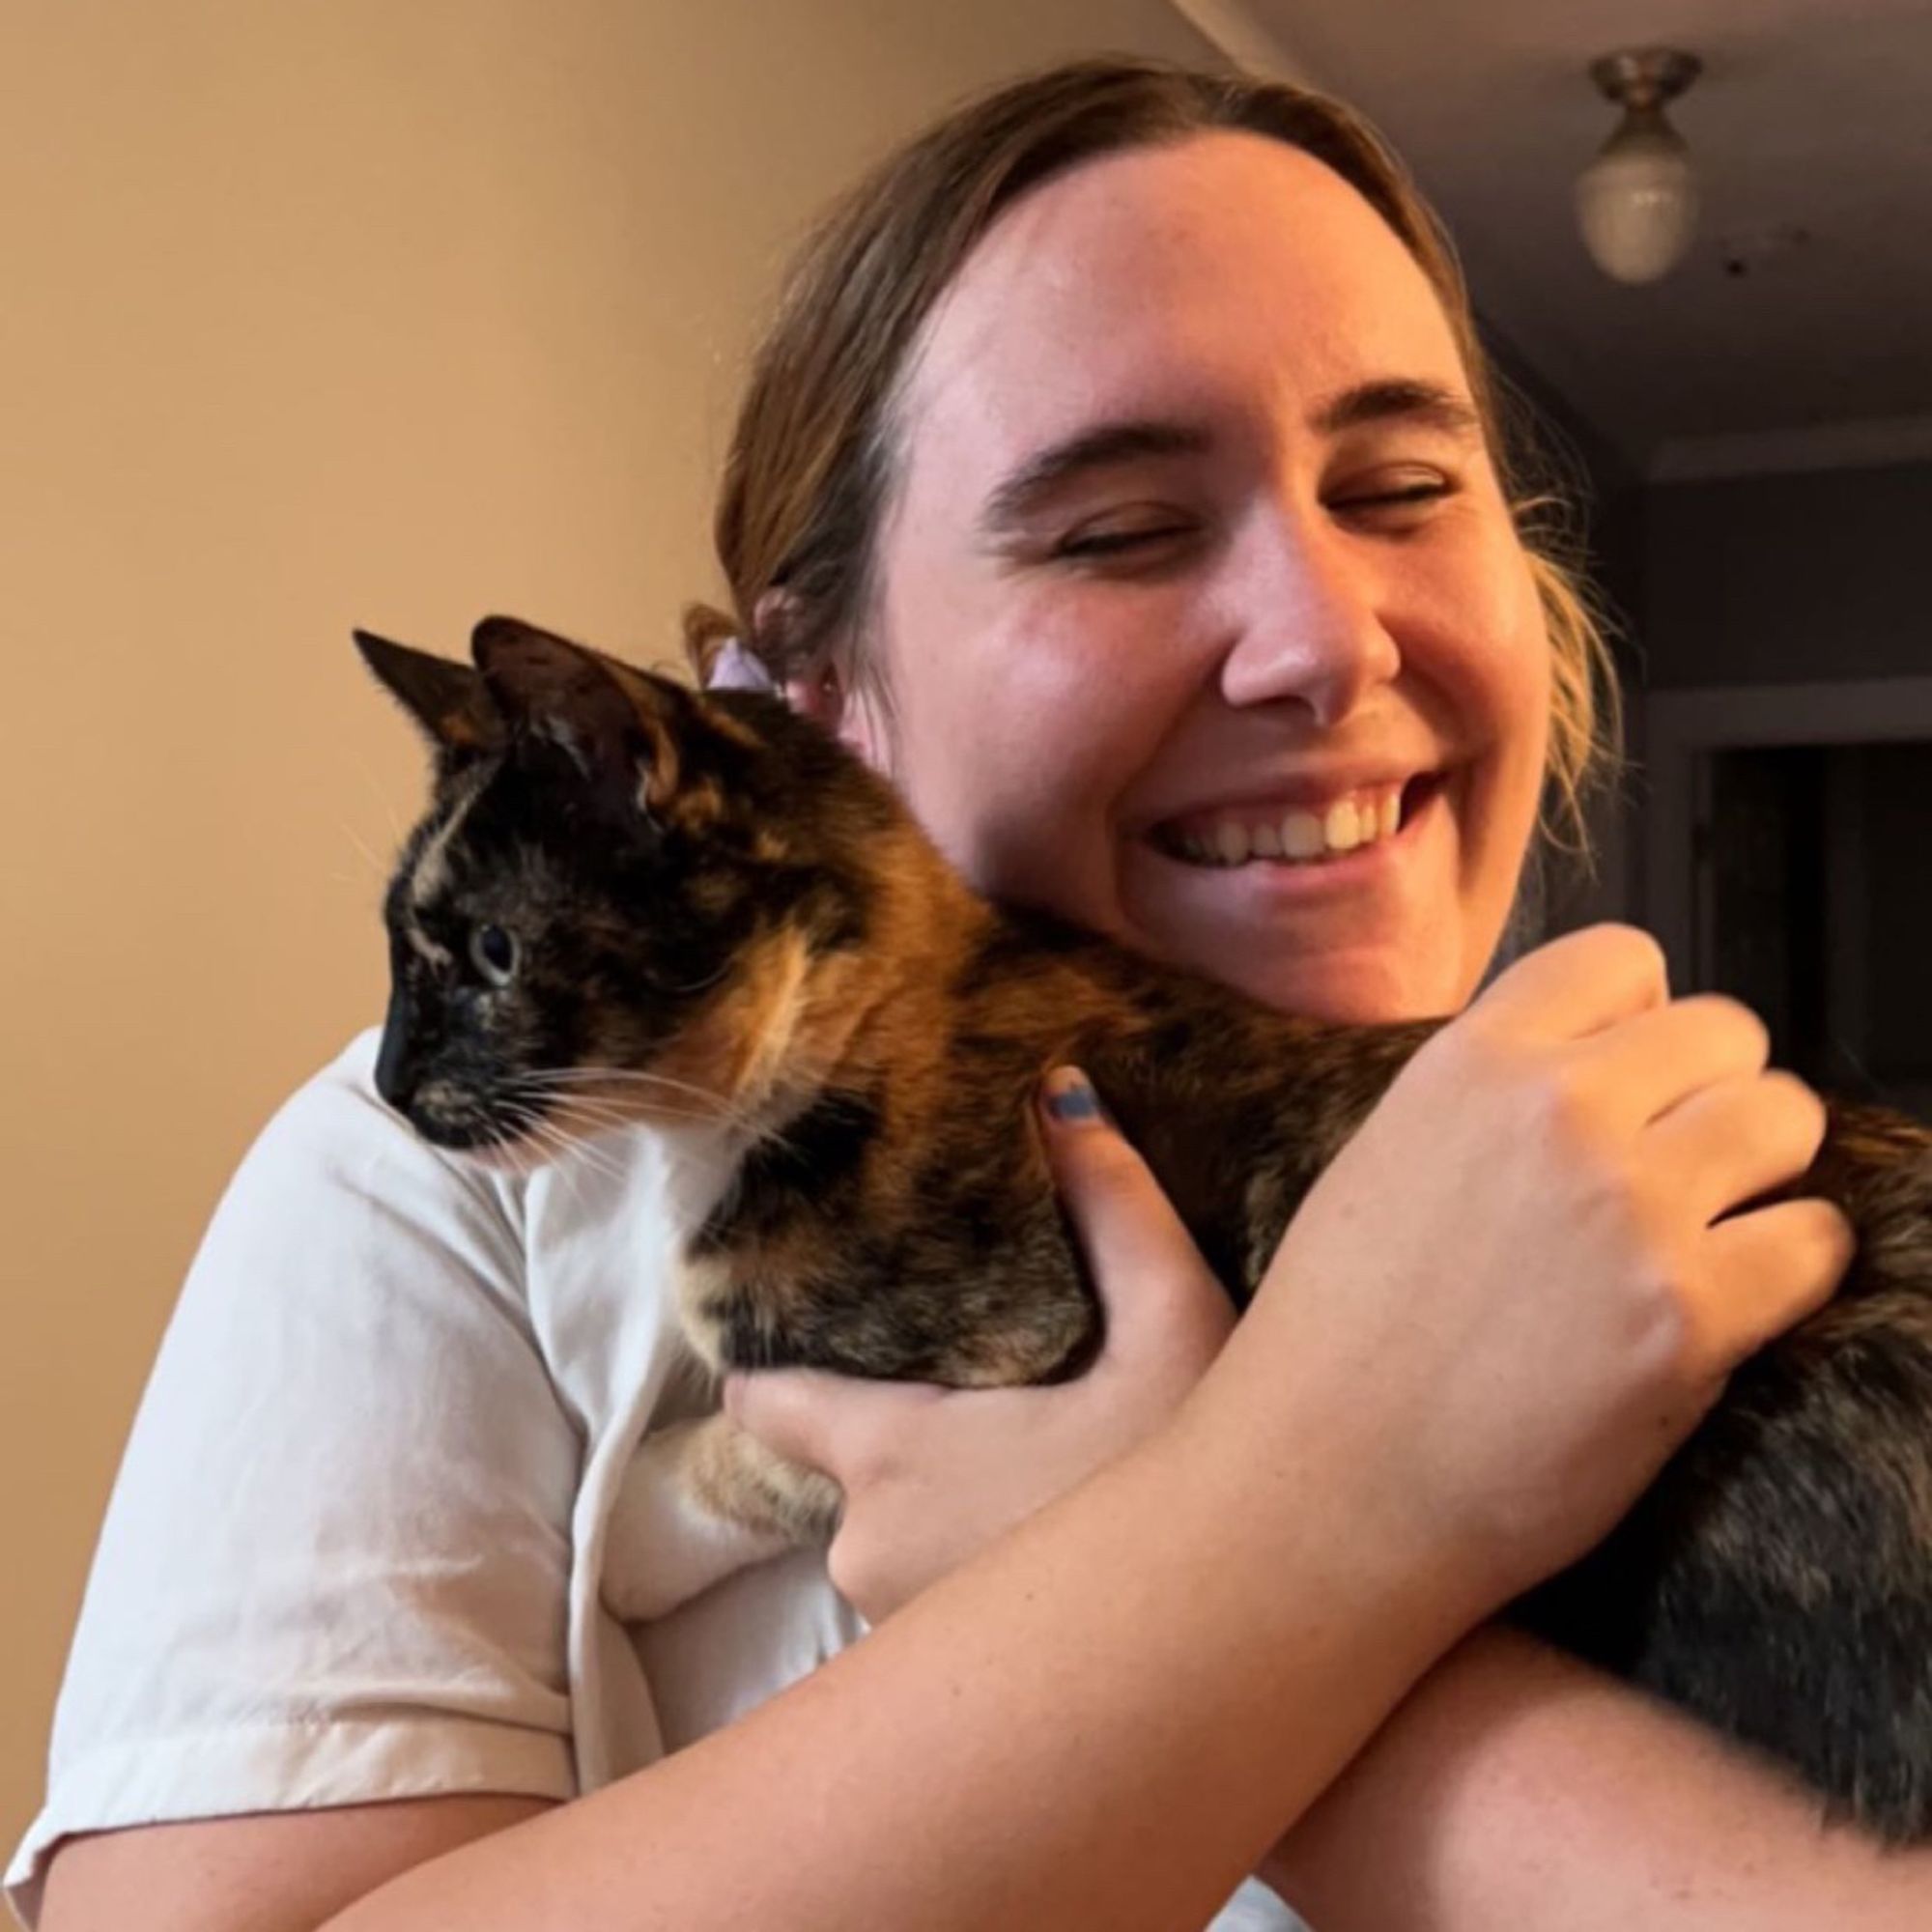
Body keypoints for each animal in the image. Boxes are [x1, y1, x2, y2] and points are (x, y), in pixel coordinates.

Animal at [355, 618, 1932, 1839]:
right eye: (396, 949)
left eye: (490, 952)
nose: (387, 1083)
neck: (847, 1016)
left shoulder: (1011, 1323)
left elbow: (764, 1438)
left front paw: (623, 1531)